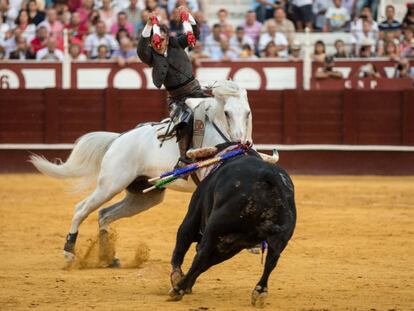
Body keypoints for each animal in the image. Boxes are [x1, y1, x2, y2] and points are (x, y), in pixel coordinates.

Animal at [29, 81, 252, 266]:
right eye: (227, 113)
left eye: (248, 113)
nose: (241, 141)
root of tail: (118, 138)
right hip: (110, 185)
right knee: (81, 209)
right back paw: (69, 252)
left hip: (144, 196)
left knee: (104, 214)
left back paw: (108, 258)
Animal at [169, 151, 298, 308]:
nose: (179, 164)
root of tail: (270, 177)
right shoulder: (230, 246)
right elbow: (204, 264)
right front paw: (187, 284)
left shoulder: (193, 218)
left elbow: (181, 248)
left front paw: (178, 280)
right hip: (278, 238)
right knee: (271, 261)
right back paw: (260, 291)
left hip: (216, 226)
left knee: (201, 254)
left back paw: (177, 289)